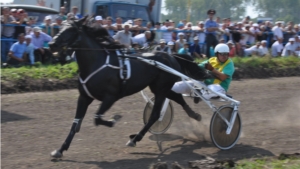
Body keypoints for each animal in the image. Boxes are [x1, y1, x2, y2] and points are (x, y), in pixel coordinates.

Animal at [48, 16, 210, 158]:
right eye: (60, 27)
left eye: (70, 29)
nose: (52, 44)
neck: (97, 63)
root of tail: (170, 56)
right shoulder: (84, 97)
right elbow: (75, 124)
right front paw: (60, 150)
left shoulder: (110, 97)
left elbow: (97, 118)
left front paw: (114, 119)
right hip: (160, 88)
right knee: (176, 97)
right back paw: (195, 115)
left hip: (161, 89)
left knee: (155, 114)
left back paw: (135, 139)